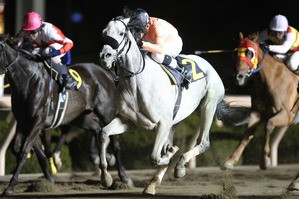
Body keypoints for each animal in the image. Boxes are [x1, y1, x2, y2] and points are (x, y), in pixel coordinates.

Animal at [225, 32, 299, 171]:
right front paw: (231, 161)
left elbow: (268, 125)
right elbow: (246, 136)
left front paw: (265, 161)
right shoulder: (257, 113)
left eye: (249, 53)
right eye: (235, 52)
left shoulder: (288, 115)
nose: (238, 77)